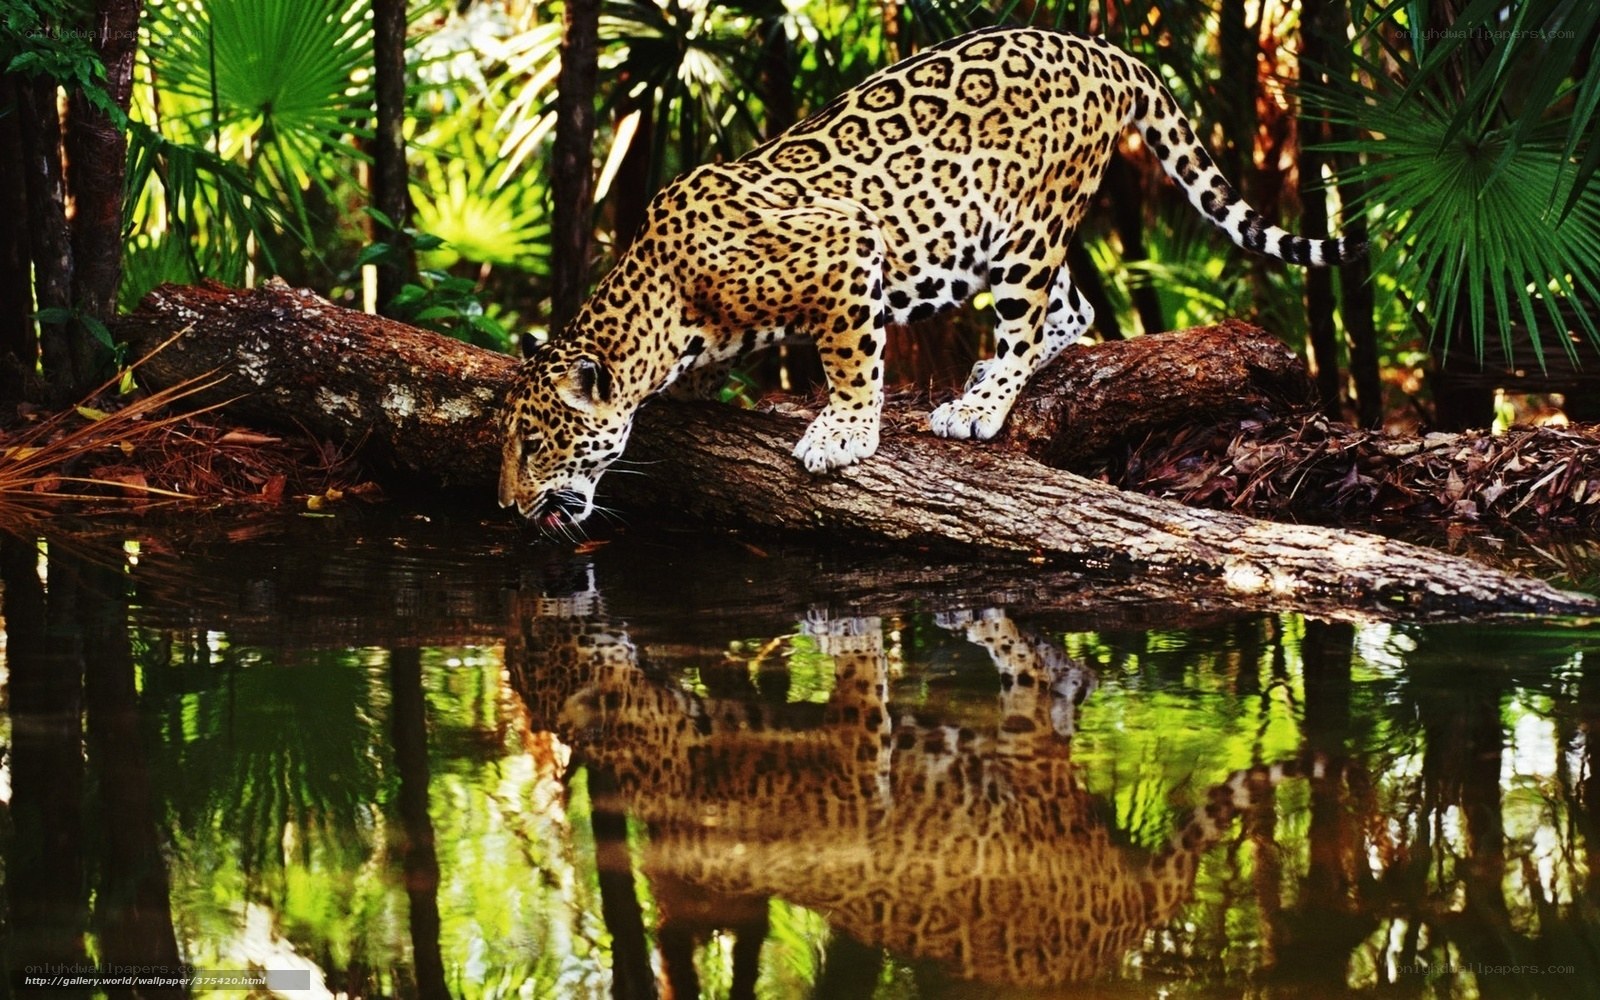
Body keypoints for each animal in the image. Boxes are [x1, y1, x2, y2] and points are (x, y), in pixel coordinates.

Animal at [498, 25, 1365, 533]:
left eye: (536, 443)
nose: (507, 504)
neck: (662, 304)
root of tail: (1102, 49)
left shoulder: (848, 245)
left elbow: (851, 359)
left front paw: (842, 431)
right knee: (1076, 305)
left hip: (1026, 226)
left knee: (1030, 315)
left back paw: (980, 404)